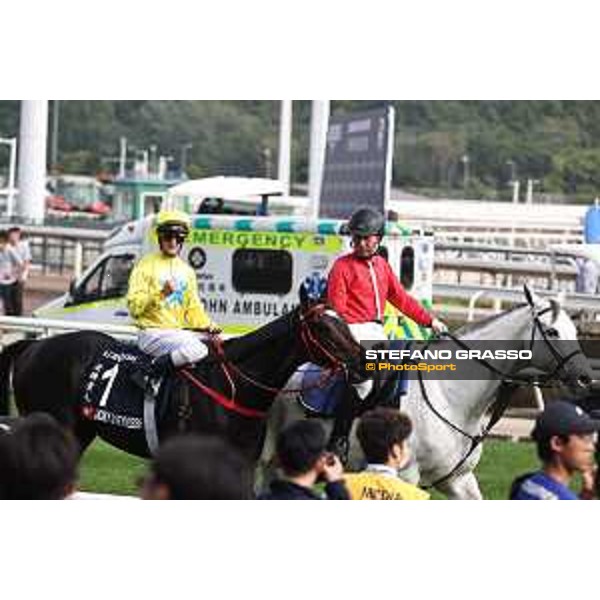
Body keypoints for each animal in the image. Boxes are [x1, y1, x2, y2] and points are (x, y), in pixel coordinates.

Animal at [0, 302, 360, 462]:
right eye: (324, 328)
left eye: (344, 321)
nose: (361, 362)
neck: (232, 387)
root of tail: (33, 346)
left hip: (79, 432)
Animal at [264, 284, 592, 496]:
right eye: (552, 332)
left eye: (574, 331)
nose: (586, 377)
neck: (450, 395)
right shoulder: (406, 476)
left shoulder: (460, 480)